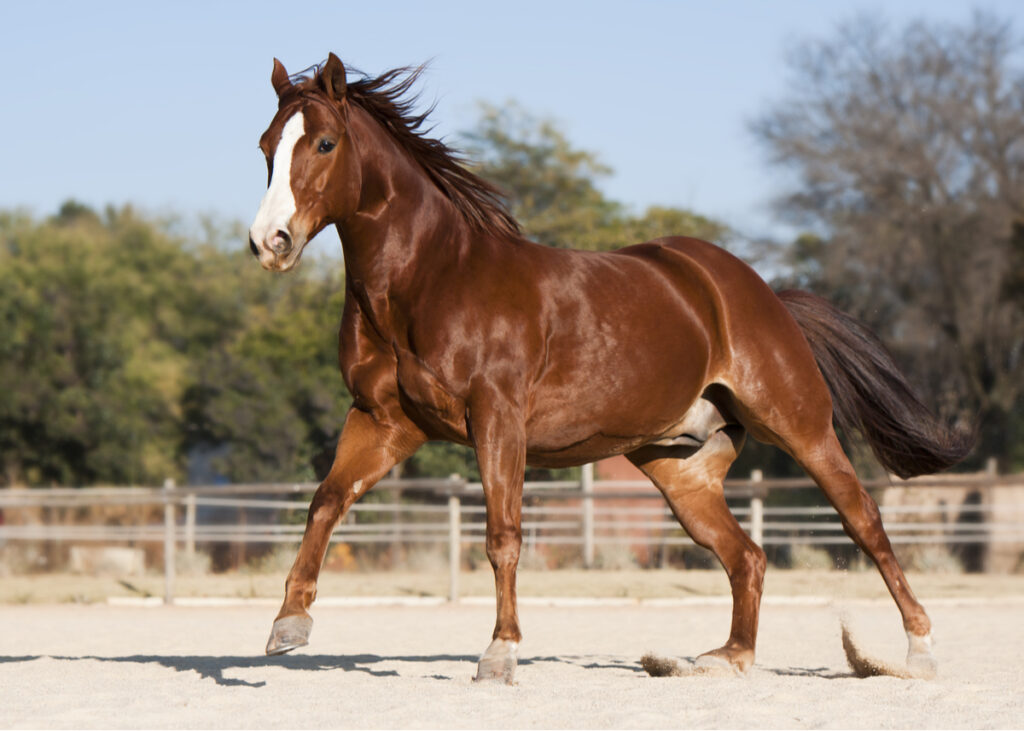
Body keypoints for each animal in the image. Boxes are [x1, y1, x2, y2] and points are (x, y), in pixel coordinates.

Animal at [245, 54, 966, 679]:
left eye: (325, 144)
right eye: (266, 146)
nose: (269, 242)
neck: (430, 278)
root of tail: (755, 291)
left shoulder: (495, 420)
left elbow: (503, 535)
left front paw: (500, 654)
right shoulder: (384, 421)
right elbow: (326, 500)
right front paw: (288, 624)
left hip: (800, 425)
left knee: (863, 521)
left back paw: (918, 652)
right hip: (678, 469)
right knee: (748, 555)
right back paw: (727, 658)